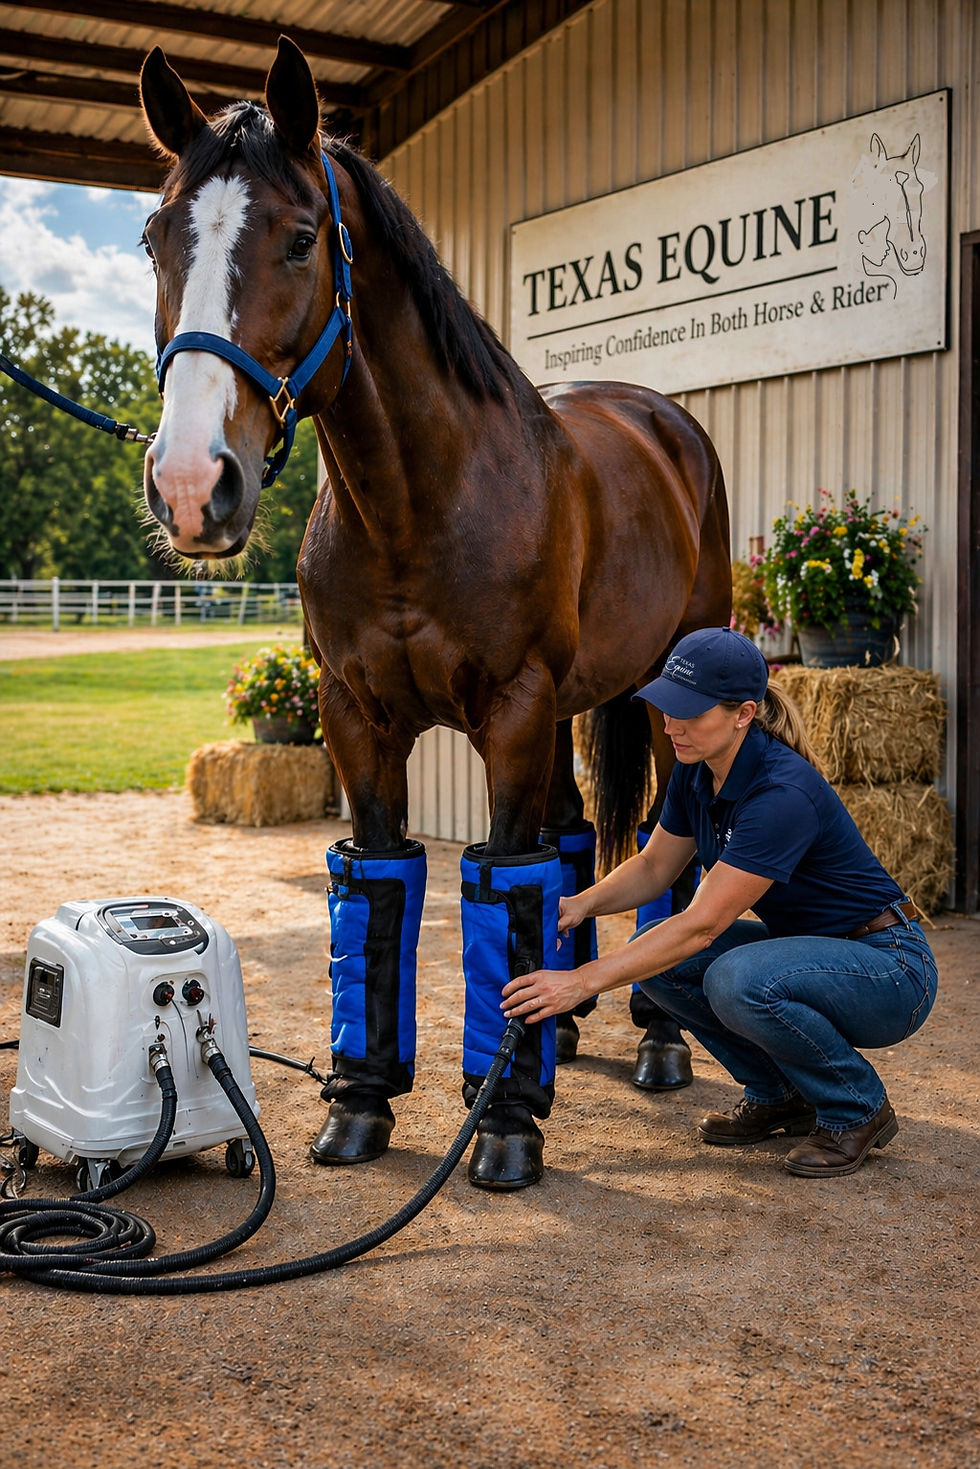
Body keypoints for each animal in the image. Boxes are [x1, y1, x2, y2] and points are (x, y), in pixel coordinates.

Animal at [138, 37, 732, 1191]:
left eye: (300, 238)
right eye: (154, 239)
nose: (192, 485)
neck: (422, 500)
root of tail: (660, 421)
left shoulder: (510, 710)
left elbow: (504, 879)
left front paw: (503, 1123)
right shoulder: (358, 716)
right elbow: (380, 884)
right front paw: (362, 1104)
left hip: (659, 691)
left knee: (653, 837)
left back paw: (655, 1039)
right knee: (574, 836)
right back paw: (568, 1026)